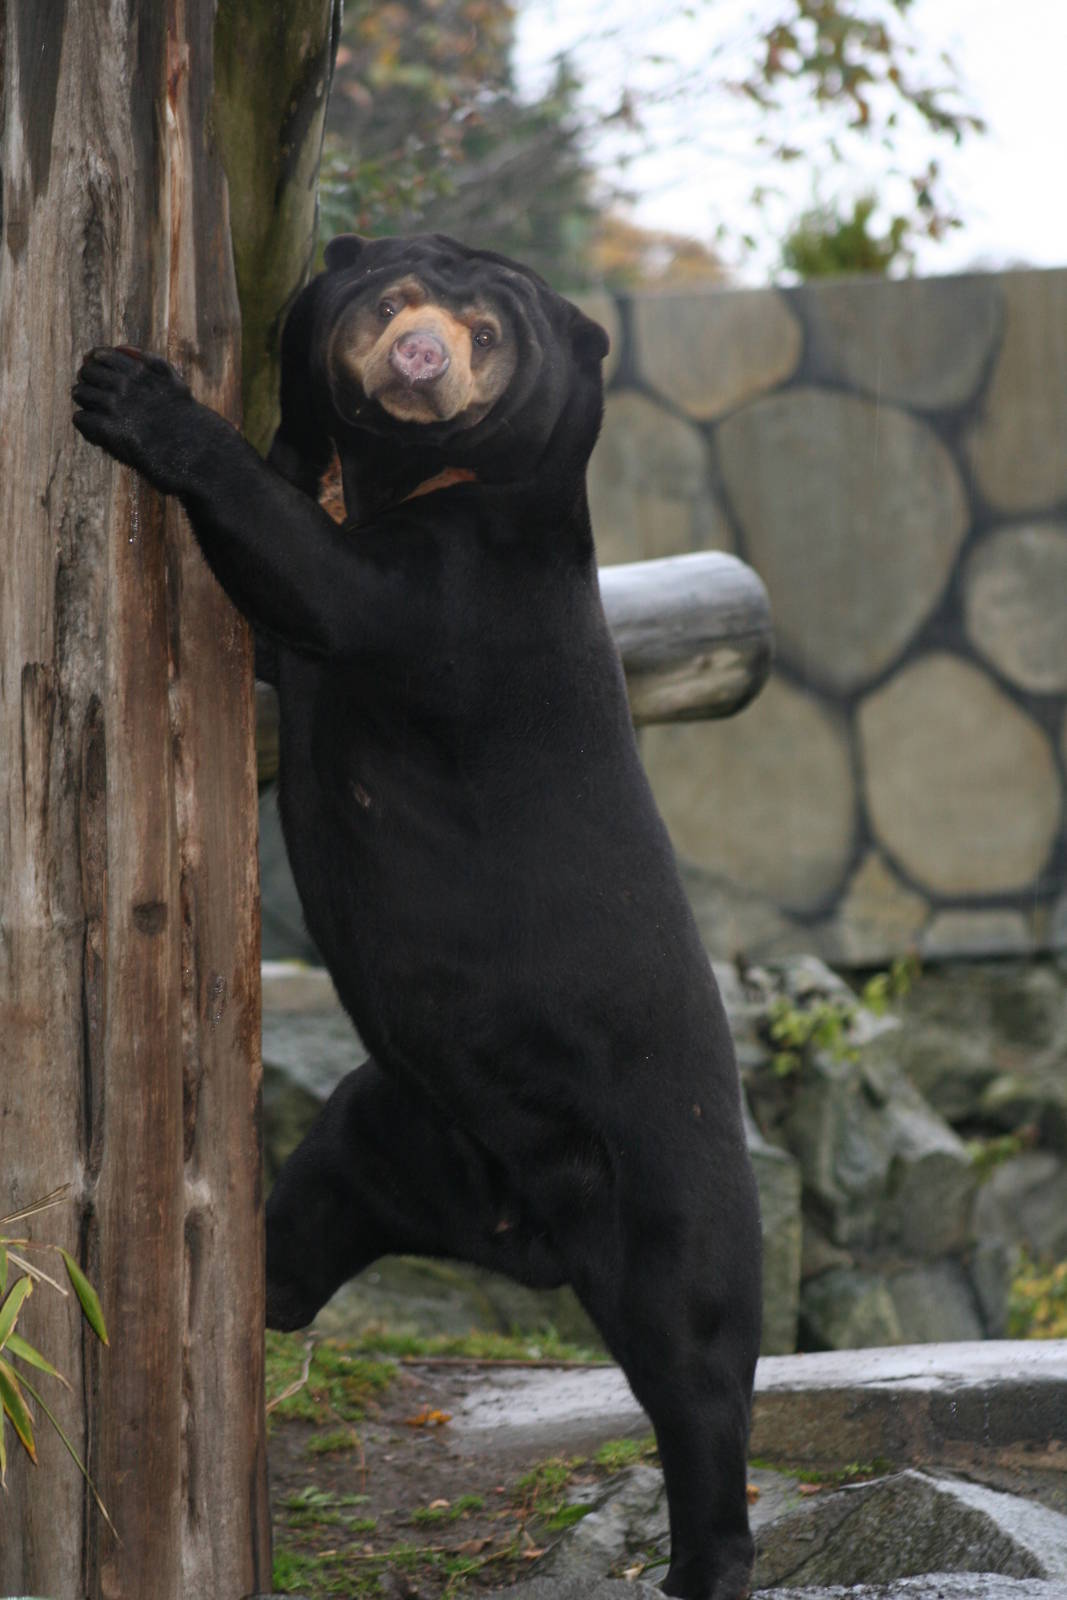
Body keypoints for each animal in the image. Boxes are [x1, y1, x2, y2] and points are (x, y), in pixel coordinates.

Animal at [72, 231, 762, 1600]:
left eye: (486, 334)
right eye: (393, 300)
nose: (420, 358)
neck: (423, 479)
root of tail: (529, 1233)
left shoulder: (454, 598)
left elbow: (316, 579)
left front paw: (126, 393)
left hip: (675, 1178)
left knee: (698, 1360)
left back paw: (705, 1562)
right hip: (400, 1127)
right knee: (323, 1191)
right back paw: (257, 1287)